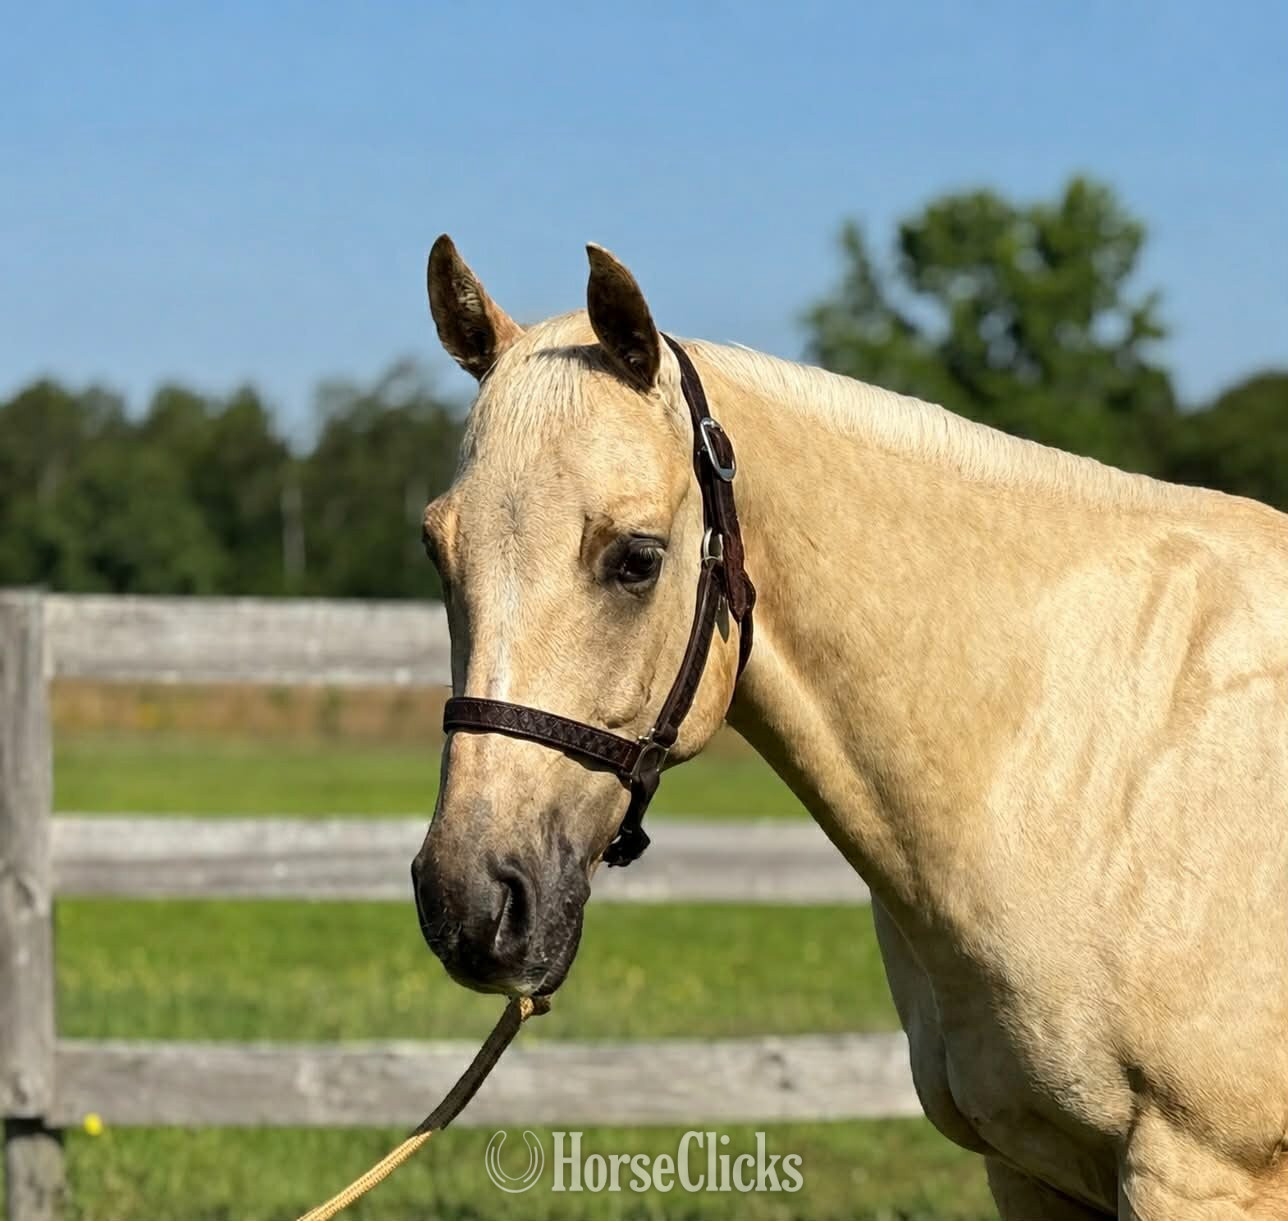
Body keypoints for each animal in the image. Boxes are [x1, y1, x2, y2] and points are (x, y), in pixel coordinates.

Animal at [410, 235, 1288, 1219]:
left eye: (636, 558)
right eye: (437, 550)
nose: (468, 904)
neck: (1097, 762)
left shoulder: (1202, 1174)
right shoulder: (1027, 1166)